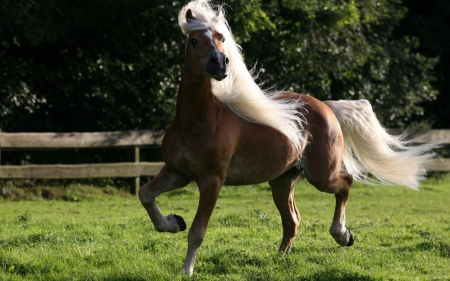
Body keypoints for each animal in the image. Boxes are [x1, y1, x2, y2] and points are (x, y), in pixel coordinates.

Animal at [139, 0, 438, 274]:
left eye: (221, 38)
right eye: (194, 40)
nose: (220, 63)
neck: (197, 121)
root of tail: (326, 106)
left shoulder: (212, 181)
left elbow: (198, 231)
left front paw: (186, 269)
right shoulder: (178, 172)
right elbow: (146, 195)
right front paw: (174, 222)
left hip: (320, 176)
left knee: (345, 183)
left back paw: (342, 235)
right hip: (282, 180)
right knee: (292, 220)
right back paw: (280, 259)